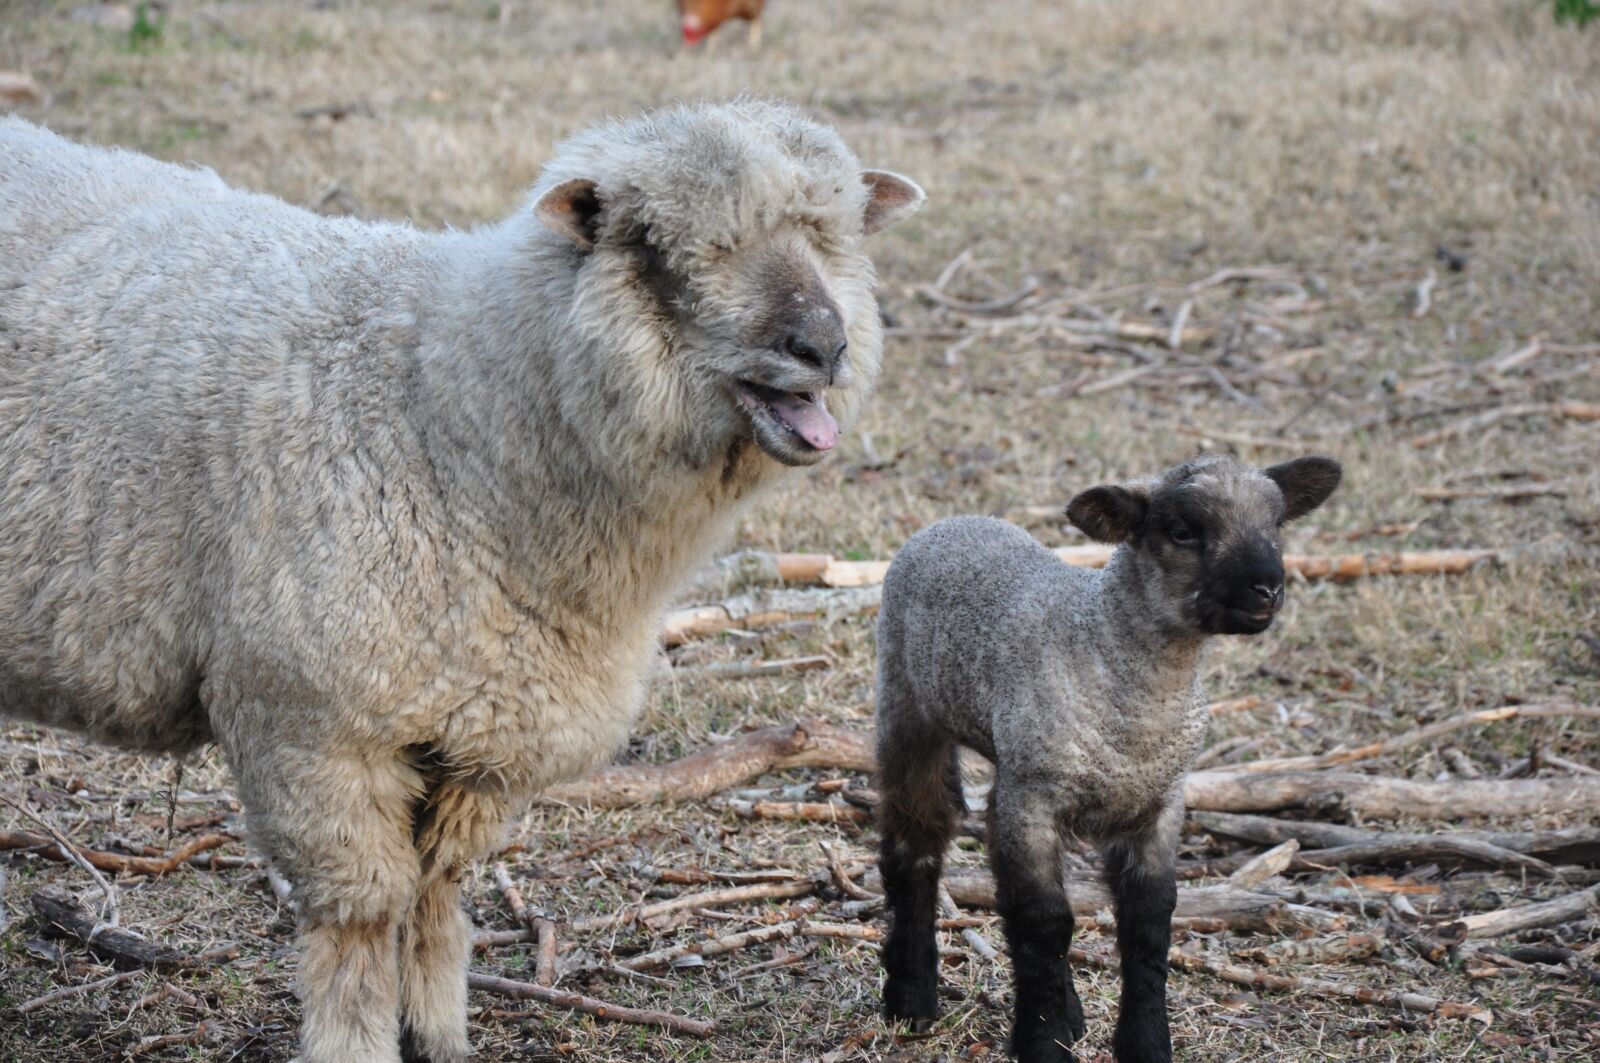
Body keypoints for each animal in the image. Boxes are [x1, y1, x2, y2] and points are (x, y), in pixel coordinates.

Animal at [0, 101, 923, 1063]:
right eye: (660, 248)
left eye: (835, 234)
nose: (822, 344)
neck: (446, 417)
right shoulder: (313, 724)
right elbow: (365, 913)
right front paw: (355, 1044)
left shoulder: (487, 728)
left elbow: (438, 891)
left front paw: (437, 1033)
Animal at [874, 454, 1341, 1063]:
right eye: (1183, 531)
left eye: (1277, 523)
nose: (1267, 587)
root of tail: (954, 520)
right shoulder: (1032, 798)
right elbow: (1043, 920)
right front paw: (1042, 1043)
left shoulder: (1159, 803)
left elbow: (1148, 922)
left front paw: (1144, 1043)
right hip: (908, 709)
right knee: (916, 844)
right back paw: (911, 999)